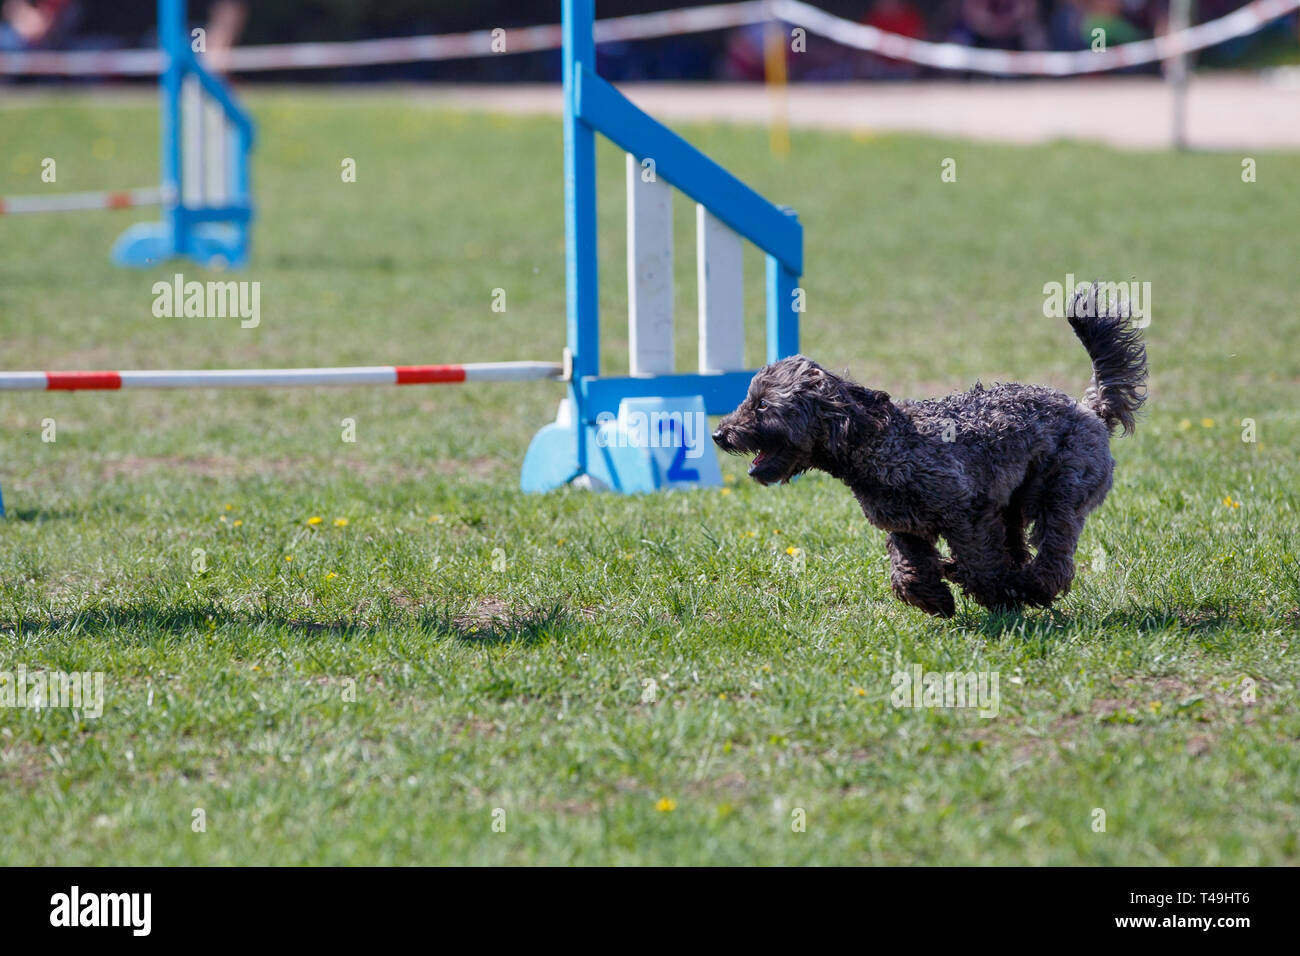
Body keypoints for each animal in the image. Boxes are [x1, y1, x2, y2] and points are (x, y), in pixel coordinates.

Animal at [712, 283, 1149, 616]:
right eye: (750, 399)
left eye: (762, 405)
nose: (719, 434)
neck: (881, 442)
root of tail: (1089, 409)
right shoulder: (906, 528)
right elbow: (908, 572)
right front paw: (936, 599)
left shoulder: (969, 516)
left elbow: (980, 565)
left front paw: (998, 595)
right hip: (1013, 505)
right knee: (1021, 549)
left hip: (1060, 493)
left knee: (1054, 556)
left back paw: (1029, 587)